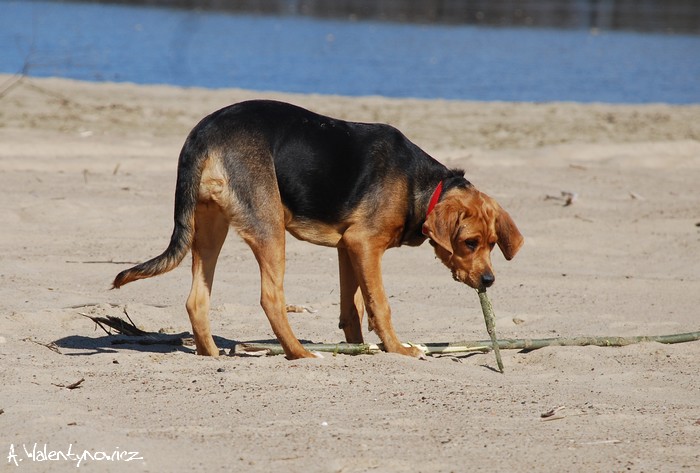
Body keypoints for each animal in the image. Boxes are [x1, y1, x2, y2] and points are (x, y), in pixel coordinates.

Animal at [112, 99, 524, 358]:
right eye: (470, 243)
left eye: (492, 244)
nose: (489, 281)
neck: (420, 184)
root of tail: (203, 133)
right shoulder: (364, 244)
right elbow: (380, 305)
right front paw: (398, 349)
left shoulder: (348, 248)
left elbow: (352, 307)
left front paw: (360, 349)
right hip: (270, 228)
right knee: (271, 298)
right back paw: (300, 354)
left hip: (210, 226)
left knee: (197, 299)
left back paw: (212, 355)